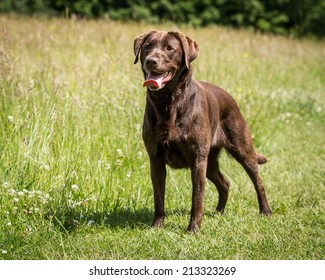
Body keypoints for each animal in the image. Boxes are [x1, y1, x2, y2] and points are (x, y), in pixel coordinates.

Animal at [132, 30, 270, 232]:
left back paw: (266, 211)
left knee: (258, 182)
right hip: (210, 162)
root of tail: (231, 98)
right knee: (224, 183)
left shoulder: (197, 160)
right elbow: (159, 198)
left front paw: (193, 229)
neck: (168, 101)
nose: (151, 61)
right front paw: (157, 226)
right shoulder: (155, 159)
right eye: (147, 46)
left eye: (169, 48)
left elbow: (197, 198)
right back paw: (219, 212)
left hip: (242, 151)